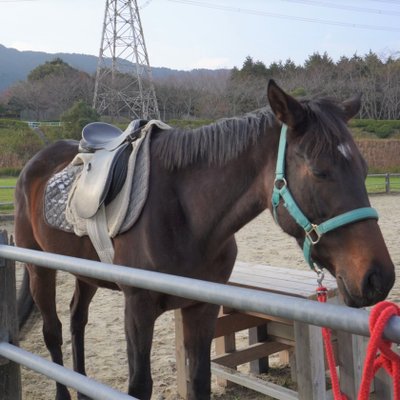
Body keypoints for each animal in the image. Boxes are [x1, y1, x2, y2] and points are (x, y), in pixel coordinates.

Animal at [14, 79, 396, 398]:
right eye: (319, 171)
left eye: (364, 169)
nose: (378, 277)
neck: (185, 214)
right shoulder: (137, 306)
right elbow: (140, 385)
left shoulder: (203, 306)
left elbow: (199, 379)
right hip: (39, 268)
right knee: (53, 331)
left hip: (86, 271)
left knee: (77, 319)